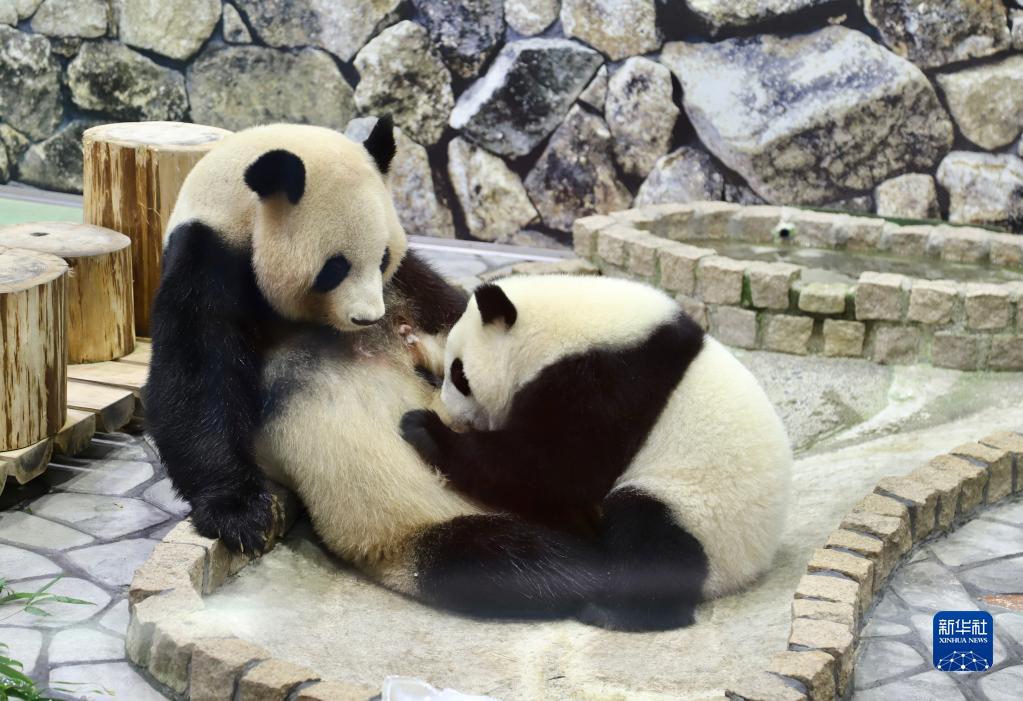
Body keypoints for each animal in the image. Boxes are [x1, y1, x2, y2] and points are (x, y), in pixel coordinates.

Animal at [144, 122, 605, 622]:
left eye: (383, 258)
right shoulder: (208, 263)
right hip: (420, 532)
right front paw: (241, 514)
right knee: (513, 561)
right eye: (334, 267)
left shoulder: (407, 283)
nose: (369, 317)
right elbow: (194, 380)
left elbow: (452, 310)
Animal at [398, 274, 789, 630]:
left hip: (702, 513)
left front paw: (426, 429)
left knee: (651, 536)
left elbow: (549, 468)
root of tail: (751, 569)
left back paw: (614, 613)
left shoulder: (610, 384)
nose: (452, 412)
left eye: (460, 374)